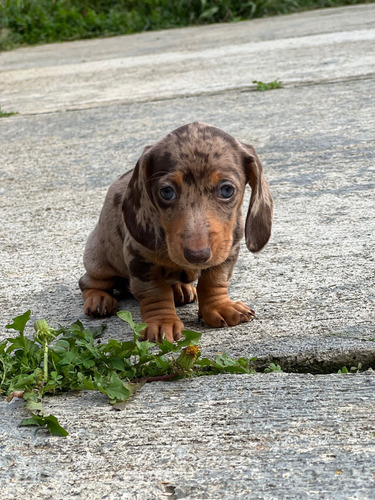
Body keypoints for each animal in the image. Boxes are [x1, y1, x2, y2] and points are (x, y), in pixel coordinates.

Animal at [79, 121, 274, 342]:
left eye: (226, 190)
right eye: (167, 192)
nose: (197, 255)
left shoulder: (228, 250)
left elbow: (215, 279)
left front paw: (220, 306)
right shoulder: (139, 259)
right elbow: (155, 292)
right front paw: (162, 322)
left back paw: (181, 288)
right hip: (99, 261)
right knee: (88, 282)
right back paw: (99, 299)